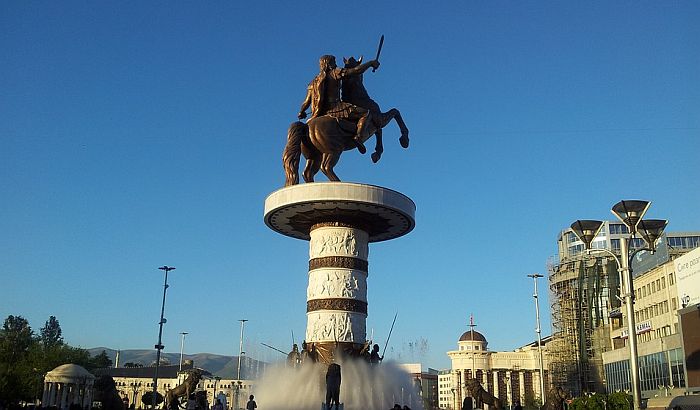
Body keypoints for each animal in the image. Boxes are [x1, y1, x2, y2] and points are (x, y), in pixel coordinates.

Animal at [280, 57, 408, 186]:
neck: (360, 98)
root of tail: (305, 127)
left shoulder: (375, 124)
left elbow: (380, 131)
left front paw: (376, 154)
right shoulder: (379, 119)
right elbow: (395, 113)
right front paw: (404, 140)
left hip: (314, 156)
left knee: (307, 173)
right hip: (333, 150)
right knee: (325, 167)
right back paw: (337, 181)